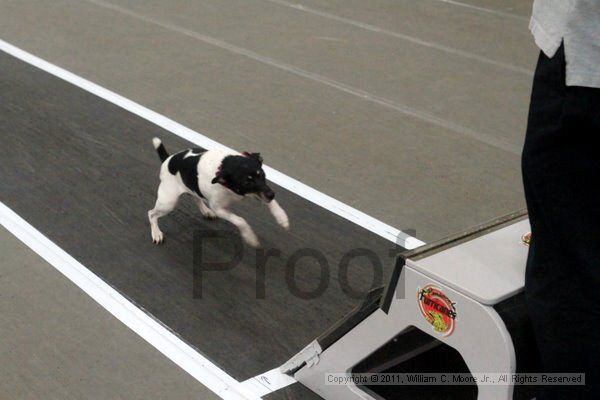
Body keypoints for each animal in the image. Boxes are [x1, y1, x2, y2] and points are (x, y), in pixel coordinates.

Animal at [148, 138, 288, 247]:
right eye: (246, 183)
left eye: (262, 174)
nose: (272, 195)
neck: (223, 165)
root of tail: (168, 159)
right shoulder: (219, 209)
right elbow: (240, 220)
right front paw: (250, 237)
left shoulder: (260, 192)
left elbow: (271, 201)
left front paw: (282, 217)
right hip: (168, 202)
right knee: (151, 214)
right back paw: (156, 233)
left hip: (188, 190)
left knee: (196, 197)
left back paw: (206, 211)